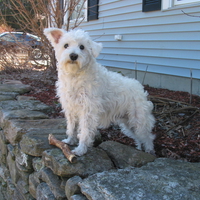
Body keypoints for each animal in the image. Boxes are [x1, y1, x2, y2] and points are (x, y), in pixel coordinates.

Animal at [44, 28, 156, 156]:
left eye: (82, 47)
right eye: (65, 45)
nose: (73, 55)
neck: (75, 75)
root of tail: (140, 88)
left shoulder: (88, 111)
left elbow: (84, 132)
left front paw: (80, 149)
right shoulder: (71, 109)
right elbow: (71, 127)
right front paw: (69, 141)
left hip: (138, 120)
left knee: (148, 137)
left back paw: (149, 150)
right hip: (128, 122)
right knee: (139, 138)